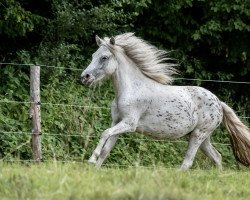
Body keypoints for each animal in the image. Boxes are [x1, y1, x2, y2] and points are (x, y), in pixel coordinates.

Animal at [81, 32, 250, 170]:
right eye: (93, 55)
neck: (131, 89)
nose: (84, 77)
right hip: (202, 137)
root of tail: (219, 102)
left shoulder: (129, 124)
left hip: (198, 135)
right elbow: (106, 150)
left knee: (188, 162)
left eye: (104, 57)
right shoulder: (117, 122)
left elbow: (104, 133)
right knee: (217, 157)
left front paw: (91, 159)